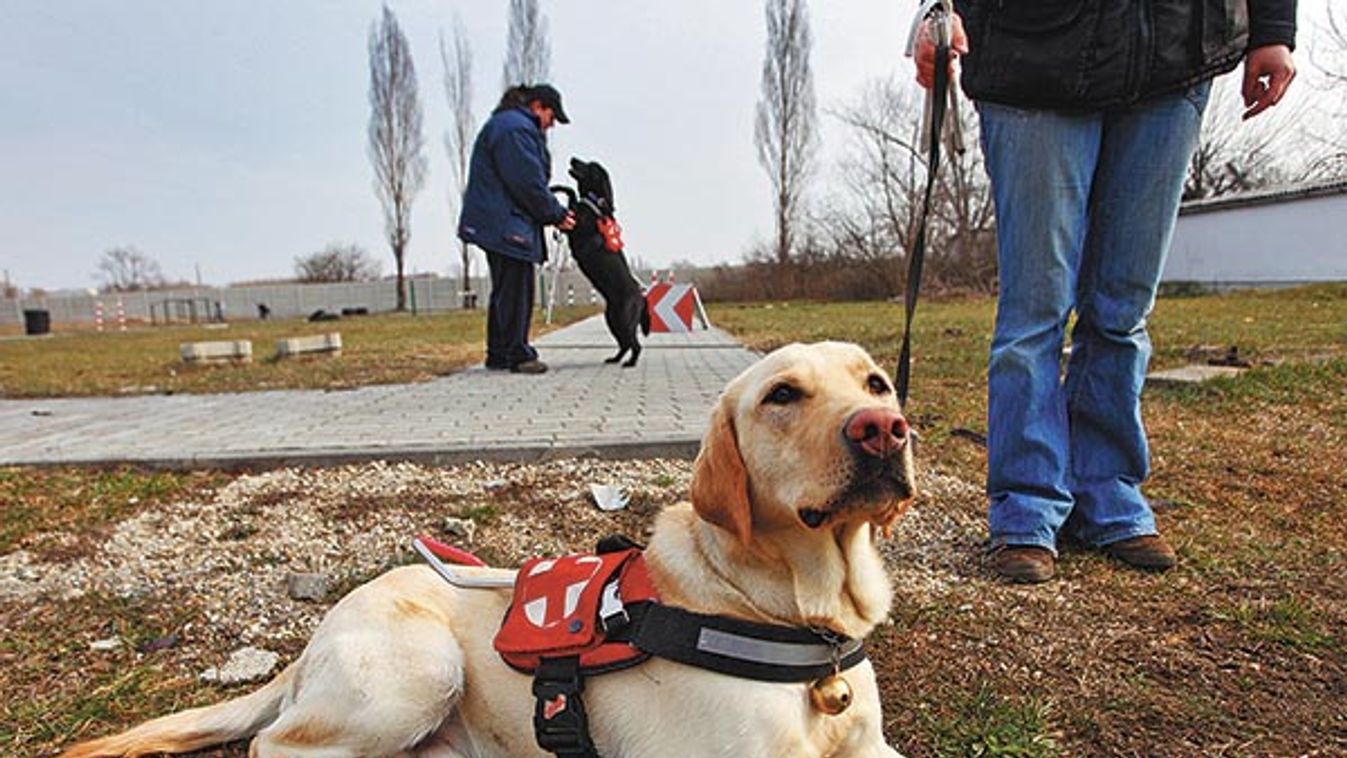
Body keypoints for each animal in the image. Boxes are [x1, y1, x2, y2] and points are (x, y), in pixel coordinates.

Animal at [60, 344, 915, 758]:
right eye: (781, 396)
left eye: (876, 382)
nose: (883, 428)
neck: (792, 610)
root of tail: (314, 638)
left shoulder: (871, 749)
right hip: (418, 671)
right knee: (275, 744)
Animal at [552, 158, 646, 368]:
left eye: (589, 165)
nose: (572, 158)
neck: (596, 202)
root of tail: (641, 297)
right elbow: (571, 193)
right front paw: (555, 187)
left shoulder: (575, 224)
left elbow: (572, 195)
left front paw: (554, 188)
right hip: (611, 319)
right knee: (624, 344)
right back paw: (615, 359)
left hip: (624, 319)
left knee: (635, 344)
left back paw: (631, 362)